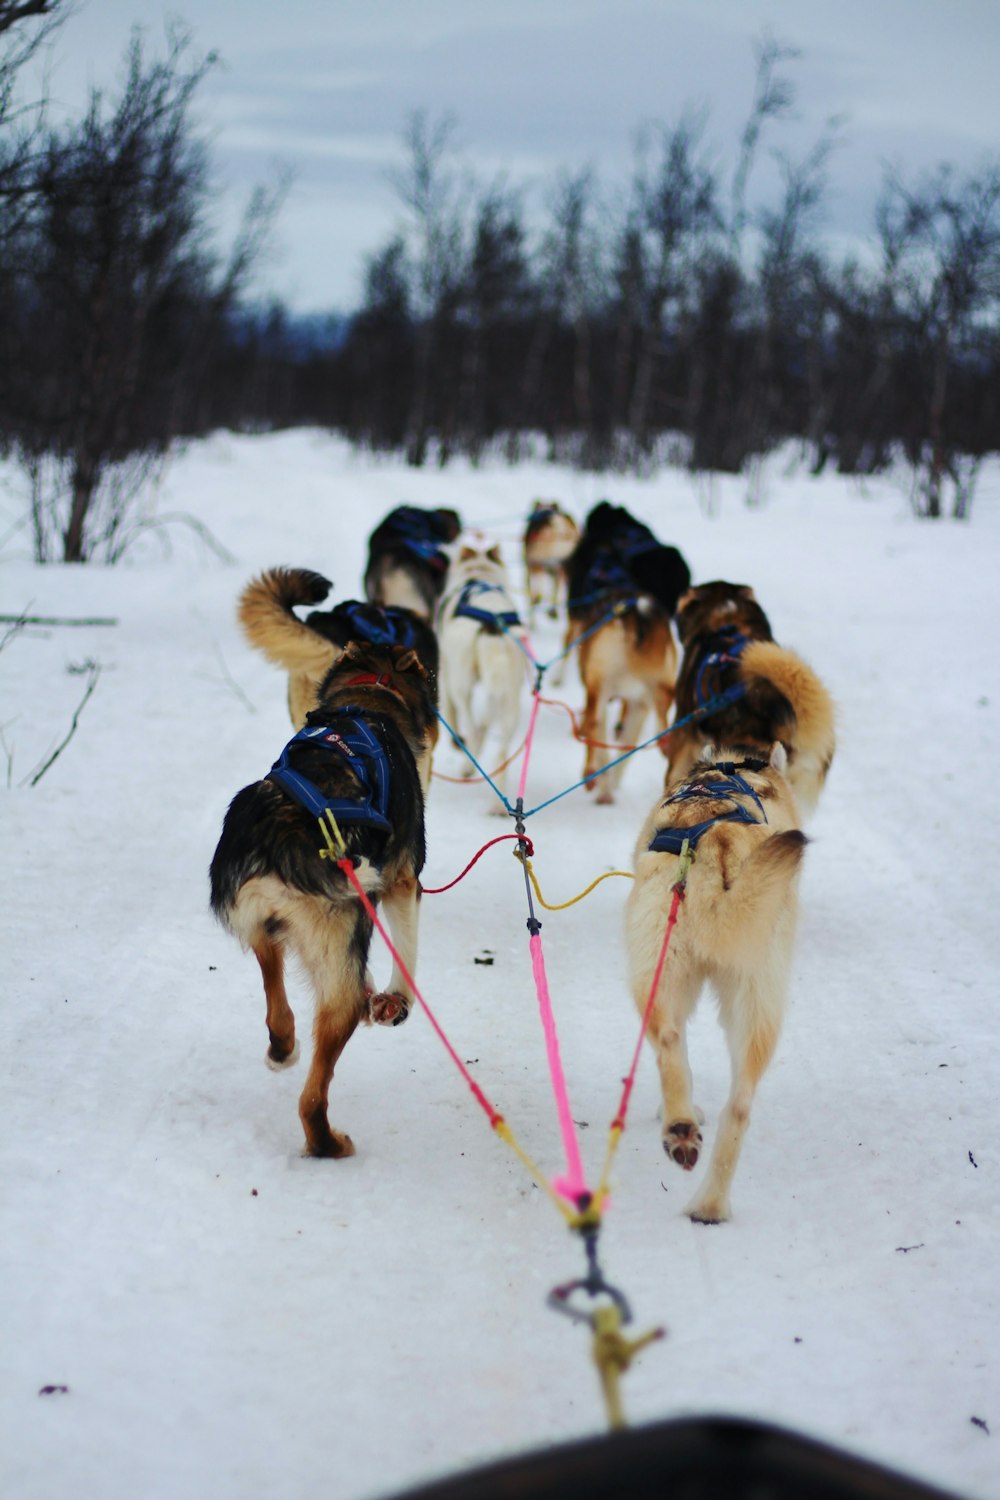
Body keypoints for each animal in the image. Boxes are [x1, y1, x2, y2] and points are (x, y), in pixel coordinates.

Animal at [211, 642, 437, 1158]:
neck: (369, 699)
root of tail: (284, 835)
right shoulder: (402, 880)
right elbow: (407, 950)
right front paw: (398, 1000)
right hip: (340, 976)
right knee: (311, 1099)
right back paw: (328, 1145)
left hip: (262, 926)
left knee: (276, 999)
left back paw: (282, 1047)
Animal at [566, 501, 692, 810]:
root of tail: (635, 613)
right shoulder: (636, 703)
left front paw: (603, 785)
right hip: (654, 694)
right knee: (648, 733)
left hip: (600, 689)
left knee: (593, 726)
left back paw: (591, 776)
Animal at [629, 744, 809, 1224]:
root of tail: (719, 845)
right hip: (753, 999)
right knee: (734, 1101)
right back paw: (707, 1198)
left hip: (659, 978)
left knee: (673, 1047)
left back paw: (682, 1131)